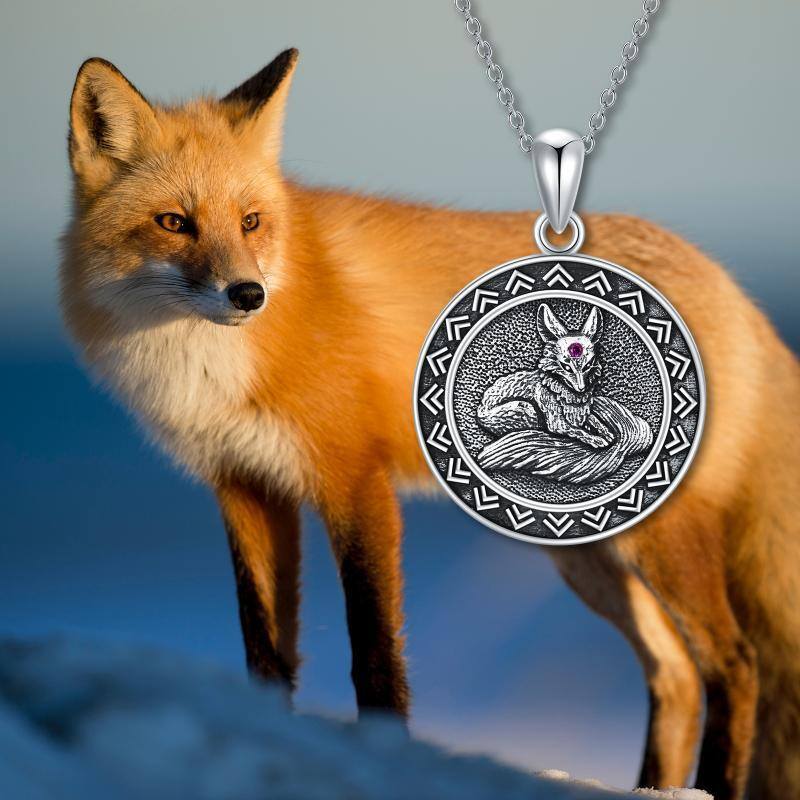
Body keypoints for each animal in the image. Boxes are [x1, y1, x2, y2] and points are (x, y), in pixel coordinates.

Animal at [61, 49, 800, 800]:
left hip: (658, 541)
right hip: (590, 553)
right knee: (675, 673)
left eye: (250, 221)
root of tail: (736, 290)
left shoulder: (356, 480)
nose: (248, 294)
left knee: (735, 664)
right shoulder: (245, 486)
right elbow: (264, 651)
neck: (212, 365)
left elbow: (374, 650)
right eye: (173, 222)